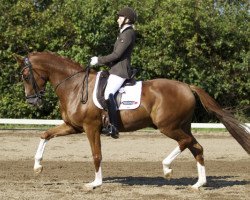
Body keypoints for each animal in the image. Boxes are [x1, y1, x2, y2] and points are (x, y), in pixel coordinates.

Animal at [14, 50, 249, 190]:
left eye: (25, 76)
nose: (32, 101)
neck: (74, 86)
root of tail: (186, 86)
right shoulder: (73, 127)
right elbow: (45, 134)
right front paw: (37, 167)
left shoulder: (91, 128)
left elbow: (96, 155)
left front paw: (95, 183)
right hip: (182, 125)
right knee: (196, 147)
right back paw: (198, 184)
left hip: (167, 126)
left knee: (186, 143)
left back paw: (167, 169)